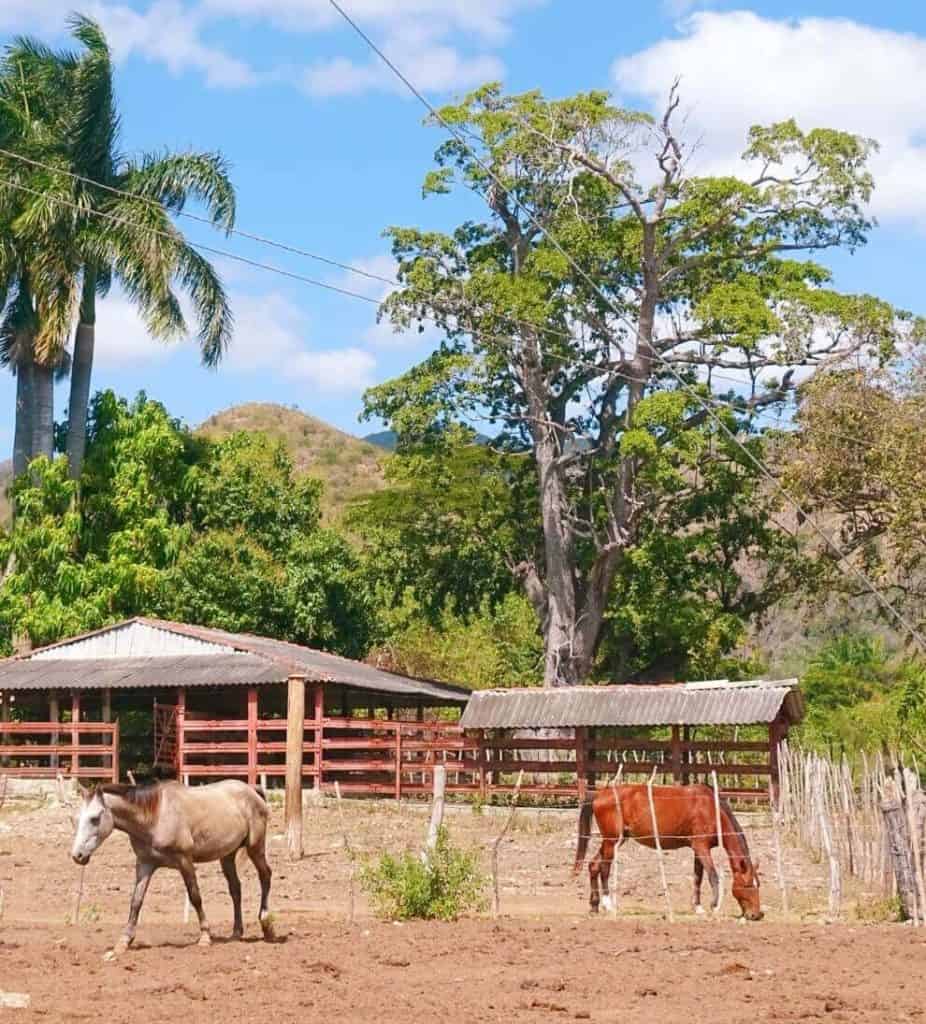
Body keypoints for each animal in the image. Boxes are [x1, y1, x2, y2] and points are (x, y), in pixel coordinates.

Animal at [71, 779, 275, 954]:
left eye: (95, 818)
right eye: (76, 819)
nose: (77, 855)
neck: (155, 818)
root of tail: (253, 791)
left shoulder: (185, 861)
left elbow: (195, 897)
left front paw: (205, 937)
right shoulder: (145, 864)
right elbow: (136, 901)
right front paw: (124, 941)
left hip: (255, 848)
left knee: (265, 875)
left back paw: (267, 926)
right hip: (227, 856)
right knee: (235, 889)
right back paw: (236, 933)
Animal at [573, 783, 763, 920]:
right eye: (747, 885)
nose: (756, 914)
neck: (710, 808)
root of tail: (599, 794)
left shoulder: (698, 849)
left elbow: (698, 877)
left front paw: (698, 907)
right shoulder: (701, 847)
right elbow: (712, 876)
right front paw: (714, 906)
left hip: (613, 842)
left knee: (594, 866)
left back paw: (594, 906)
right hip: (612, 841)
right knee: (604, 869)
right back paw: (608, 905)